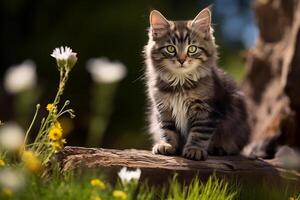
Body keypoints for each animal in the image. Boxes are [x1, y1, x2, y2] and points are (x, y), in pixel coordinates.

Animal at [144, 7, 250, 160]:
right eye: (171, 49)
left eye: (192, 49)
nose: (181, 60)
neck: (180, 83)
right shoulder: (163, 109)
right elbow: (167, 130)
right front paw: (167, 145)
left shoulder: (206, 110)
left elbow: (199, 133)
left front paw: (195, 150)